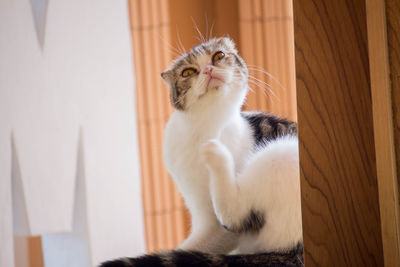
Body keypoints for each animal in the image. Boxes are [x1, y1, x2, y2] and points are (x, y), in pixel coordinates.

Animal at [101, 36, 304, 266]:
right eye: (188, 72)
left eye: (218, 55)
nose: (208, 69)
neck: (203, 128)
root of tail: (294, 253)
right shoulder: (198, 206)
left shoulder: (217, 228)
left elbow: (209, 238)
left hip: (280, 155)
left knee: (234, 214)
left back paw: (215, 152)